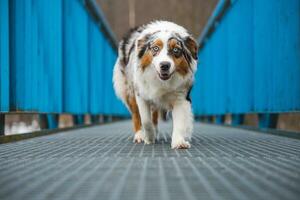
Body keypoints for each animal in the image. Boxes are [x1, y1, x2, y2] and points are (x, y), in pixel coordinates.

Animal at [112, 20, 197, 148]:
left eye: (176, 50)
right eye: (155, 48)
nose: (165, 65)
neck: (161, 81)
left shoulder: (181, 97)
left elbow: (180, 122)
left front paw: (179, 142)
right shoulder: (141, 94)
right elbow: (146, 120)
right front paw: (149, 137)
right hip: (129, 90)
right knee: (136, 115)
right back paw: (139, 135)